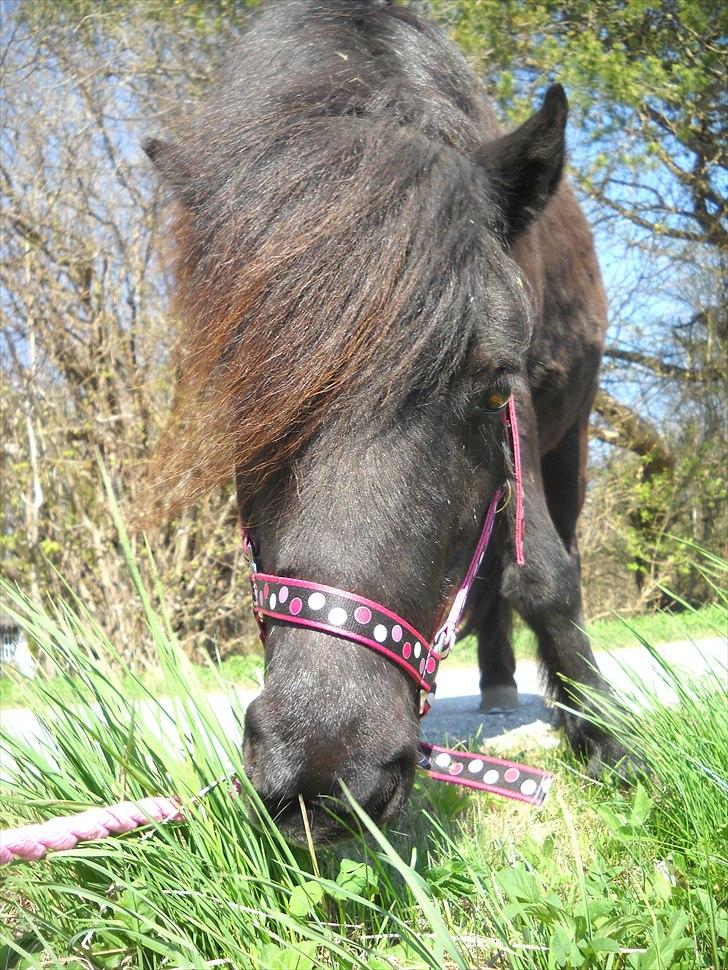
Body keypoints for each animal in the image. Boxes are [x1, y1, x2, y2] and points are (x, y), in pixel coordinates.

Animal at [145, 0, 628, 840]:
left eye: (491, 389)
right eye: (244, 400)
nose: (324, 768)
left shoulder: (525, 410)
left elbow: (543, 575)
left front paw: (606, 742)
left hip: (572, 441)